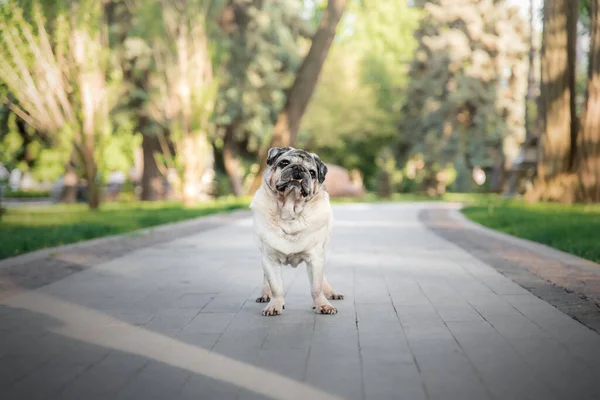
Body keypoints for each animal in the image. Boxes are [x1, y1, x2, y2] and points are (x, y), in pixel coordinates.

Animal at [248, 147, 342, 316]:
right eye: (284, 163)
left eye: (312, 172)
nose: (299, 168)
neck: (289, 213)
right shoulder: (269, 258)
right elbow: (276, 286)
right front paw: (275, 305)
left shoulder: (315, 257)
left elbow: (316, 287)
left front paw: (322, 304)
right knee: (266, 279)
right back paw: (265, 294)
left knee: (322, 279)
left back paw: (330, 293)